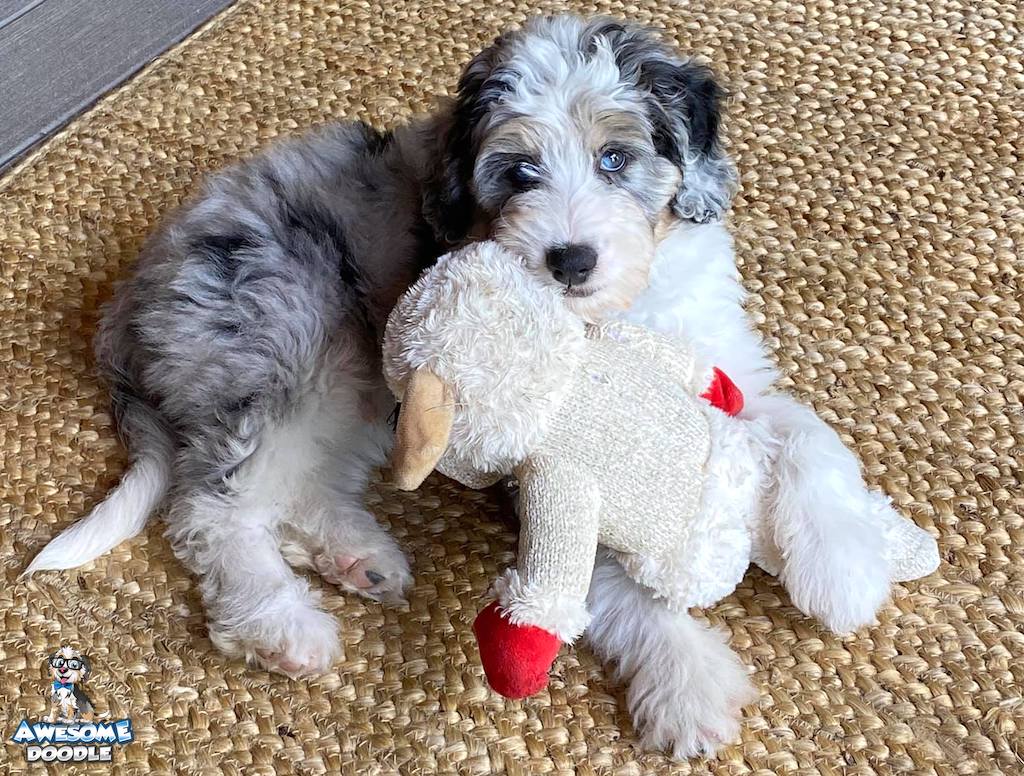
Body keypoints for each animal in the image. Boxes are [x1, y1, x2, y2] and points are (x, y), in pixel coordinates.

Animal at [25, 13, 905, 761]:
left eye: (615, 158)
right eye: (518, 173)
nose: (569, 259)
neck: (618, 317)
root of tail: (133, 292)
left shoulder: (725, 368)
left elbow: (811, 438)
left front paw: (843, 568)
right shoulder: (543, 456)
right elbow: (606, 568)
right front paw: (686, 687)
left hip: (365, 387)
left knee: (296, 490)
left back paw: (361, 561)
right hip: (296, 350)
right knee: (216, 509)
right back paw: (284, 626)